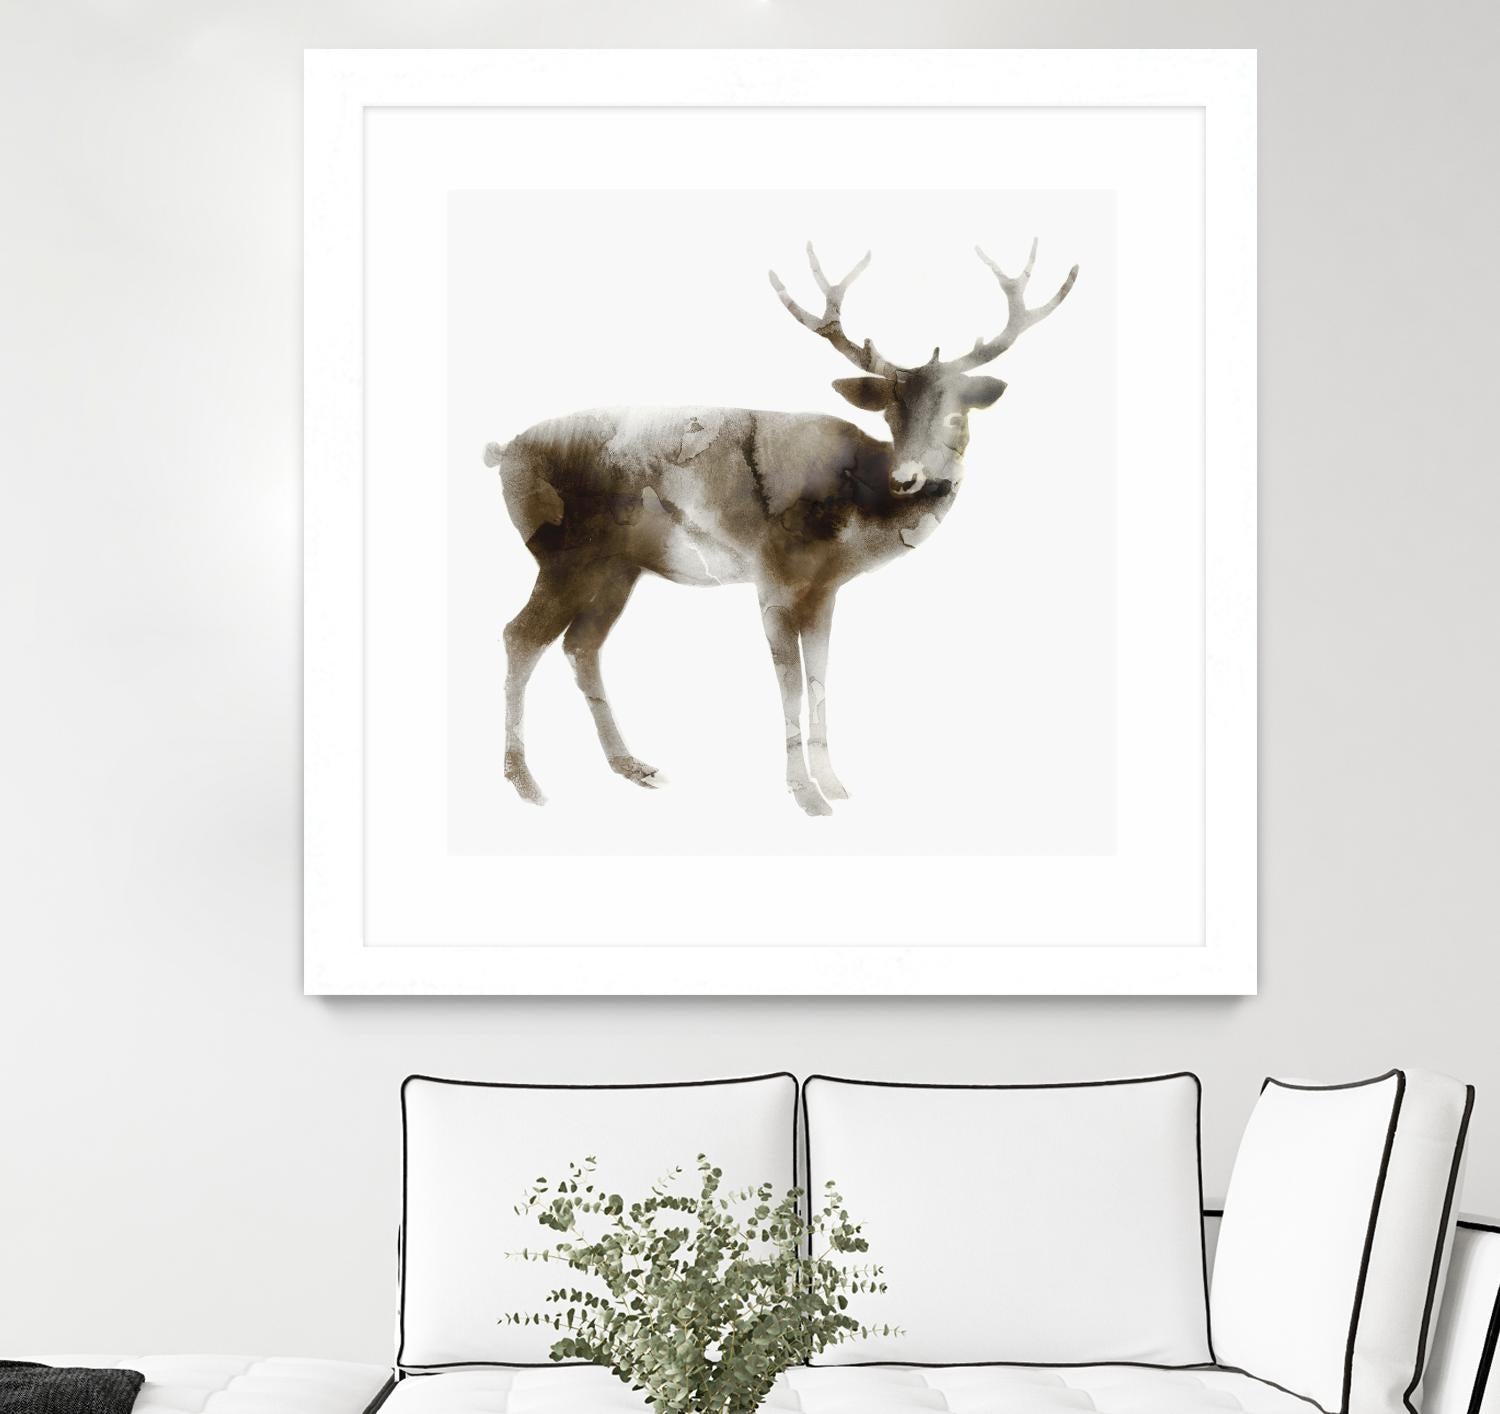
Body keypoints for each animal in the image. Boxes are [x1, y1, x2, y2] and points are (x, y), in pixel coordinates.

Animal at [484, 240, 1078, 816]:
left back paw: (631, 765)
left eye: (957, 414)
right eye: (890, 414)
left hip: (616, 568)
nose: (908, 478)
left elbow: (819, 678)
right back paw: (525, 782)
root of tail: (503, 452)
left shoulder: (825, 591)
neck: (854, 519)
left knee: (581, 646)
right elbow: (789, 683)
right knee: (520, 636)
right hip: (563, 555)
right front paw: (805, 794)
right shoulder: (772, 578)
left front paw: (834, 783)